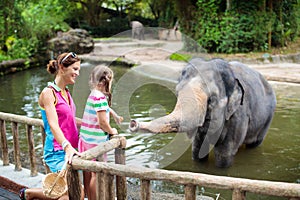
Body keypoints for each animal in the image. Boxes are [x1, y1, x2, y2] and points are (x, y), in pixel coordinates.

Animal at [129, 57, 276, 167]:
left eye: (212, 99)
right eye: (177, 92)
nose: (133, 123)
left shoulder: (238, 116)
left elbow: (224, 154)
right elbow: (197, 149)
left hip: (267, 119)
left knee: (254, 143)